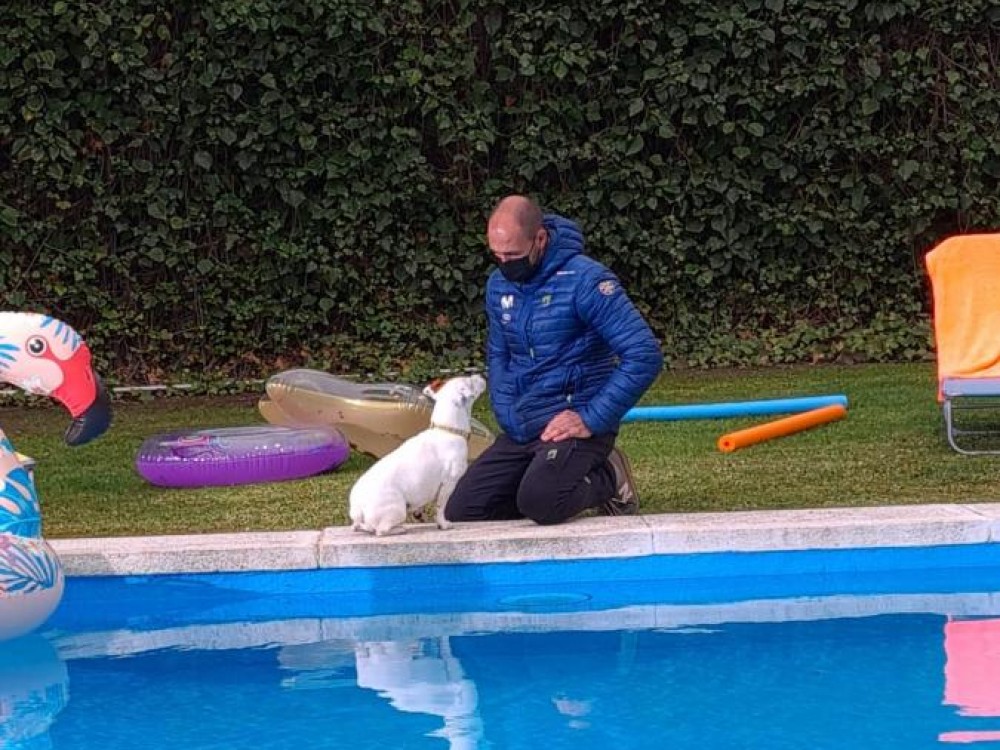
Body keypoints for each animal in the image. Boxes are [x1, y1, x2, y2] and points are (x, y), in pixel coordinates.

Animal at [348, 374, 486, 536]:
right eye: (470, 382)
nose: (479, 375)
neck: (447, 430)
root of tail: (358, 508)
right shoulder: (448, 484)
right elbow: (440, 508)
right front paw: (443, 524)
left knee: (359, 526)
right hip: (397, 508)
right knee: (380, 530)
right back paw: (399, 529)